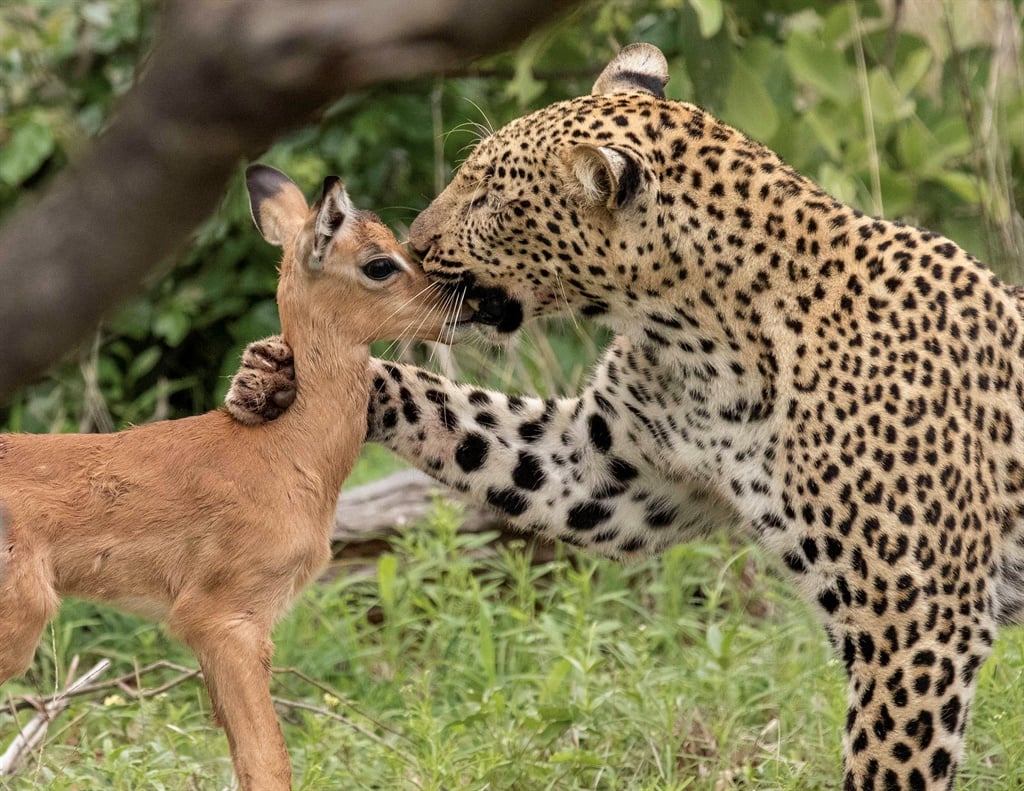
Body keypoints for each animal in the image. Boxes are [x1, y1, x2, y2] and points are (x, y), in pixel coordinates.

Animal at [225, 43, 1024, 790]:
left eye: (488, 199)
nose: (417, 247)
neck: (701, 340)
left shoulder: (914, 623)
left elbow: (888, 762)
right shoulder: (604, 468)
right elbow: (465, 421)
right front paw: (274, 376)